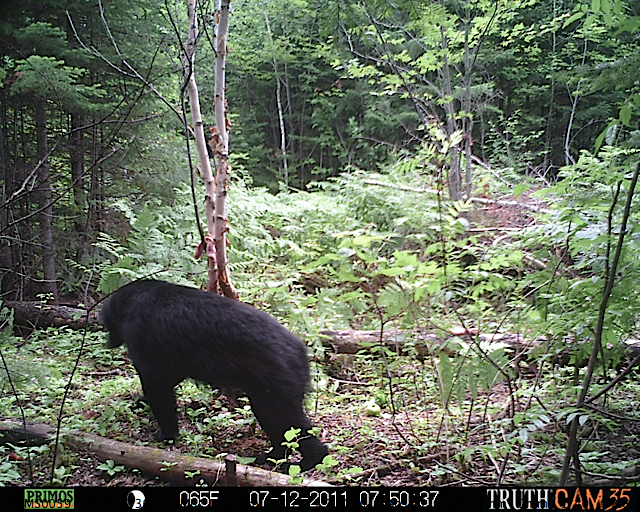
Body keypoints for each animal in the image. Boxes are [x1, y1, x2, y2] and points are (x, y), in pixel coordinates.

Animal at [102, 280, 328, 472]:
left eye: (106, 325)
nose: (107, 342)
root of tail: (302, 353)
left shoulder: (142, 339)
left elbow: (157, 387)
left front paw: (166, 434)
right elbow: (170, 377)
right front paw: (141, 400)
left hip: (276, 383)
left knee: (288, 421)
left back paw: (305, 461)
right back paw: (270, 456)